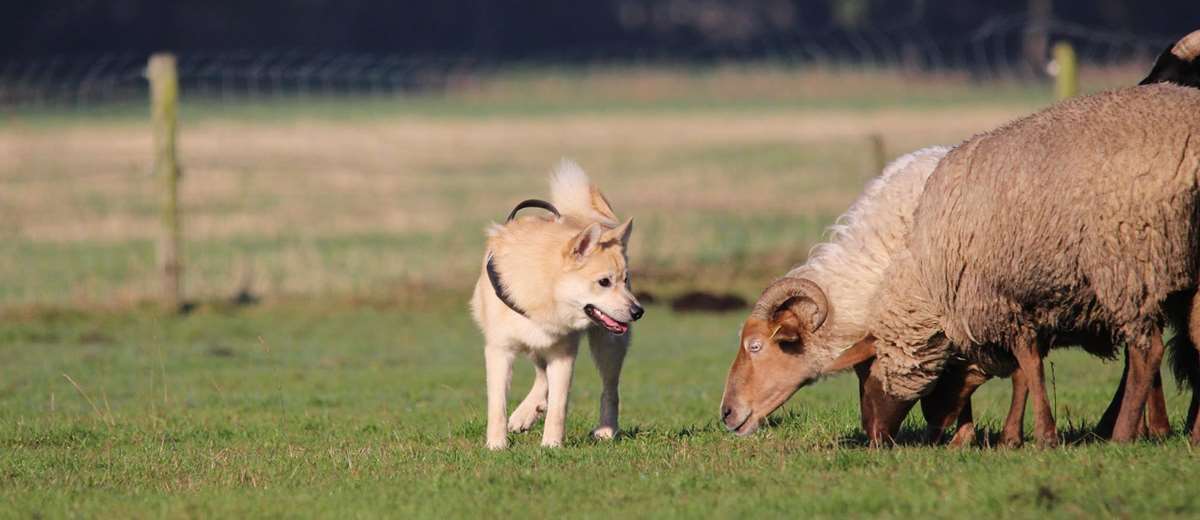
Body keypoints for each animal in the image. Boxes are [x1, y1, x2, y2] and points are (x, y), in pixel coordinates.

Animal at [468, 159, 643, 446]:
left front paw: (551, 445)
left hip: (608, 345)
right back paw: (525, 413)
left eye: (625, 280)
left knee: (610, 389)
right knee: (541, 376)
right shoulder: (499, 349)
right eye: (604, 282)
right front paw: (496, 445)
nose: (638, 311)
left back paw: (606, 429)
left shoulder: (563, 353)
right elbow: (497, 404)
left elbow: (559, 405)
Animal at [868, 84, 1200, 446]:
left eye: (870, 371)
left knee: (1147, 351)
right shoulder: (1025, 303)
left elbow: (1028, 364)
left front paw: (1041, 435)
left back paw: (1122, 435)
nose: (875, 437)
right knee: (1197, 339)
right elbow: (1025, 368)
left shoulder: (1000, 301)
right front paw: (1013, 436)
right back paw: (1196, 433)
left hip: (1128, 265)